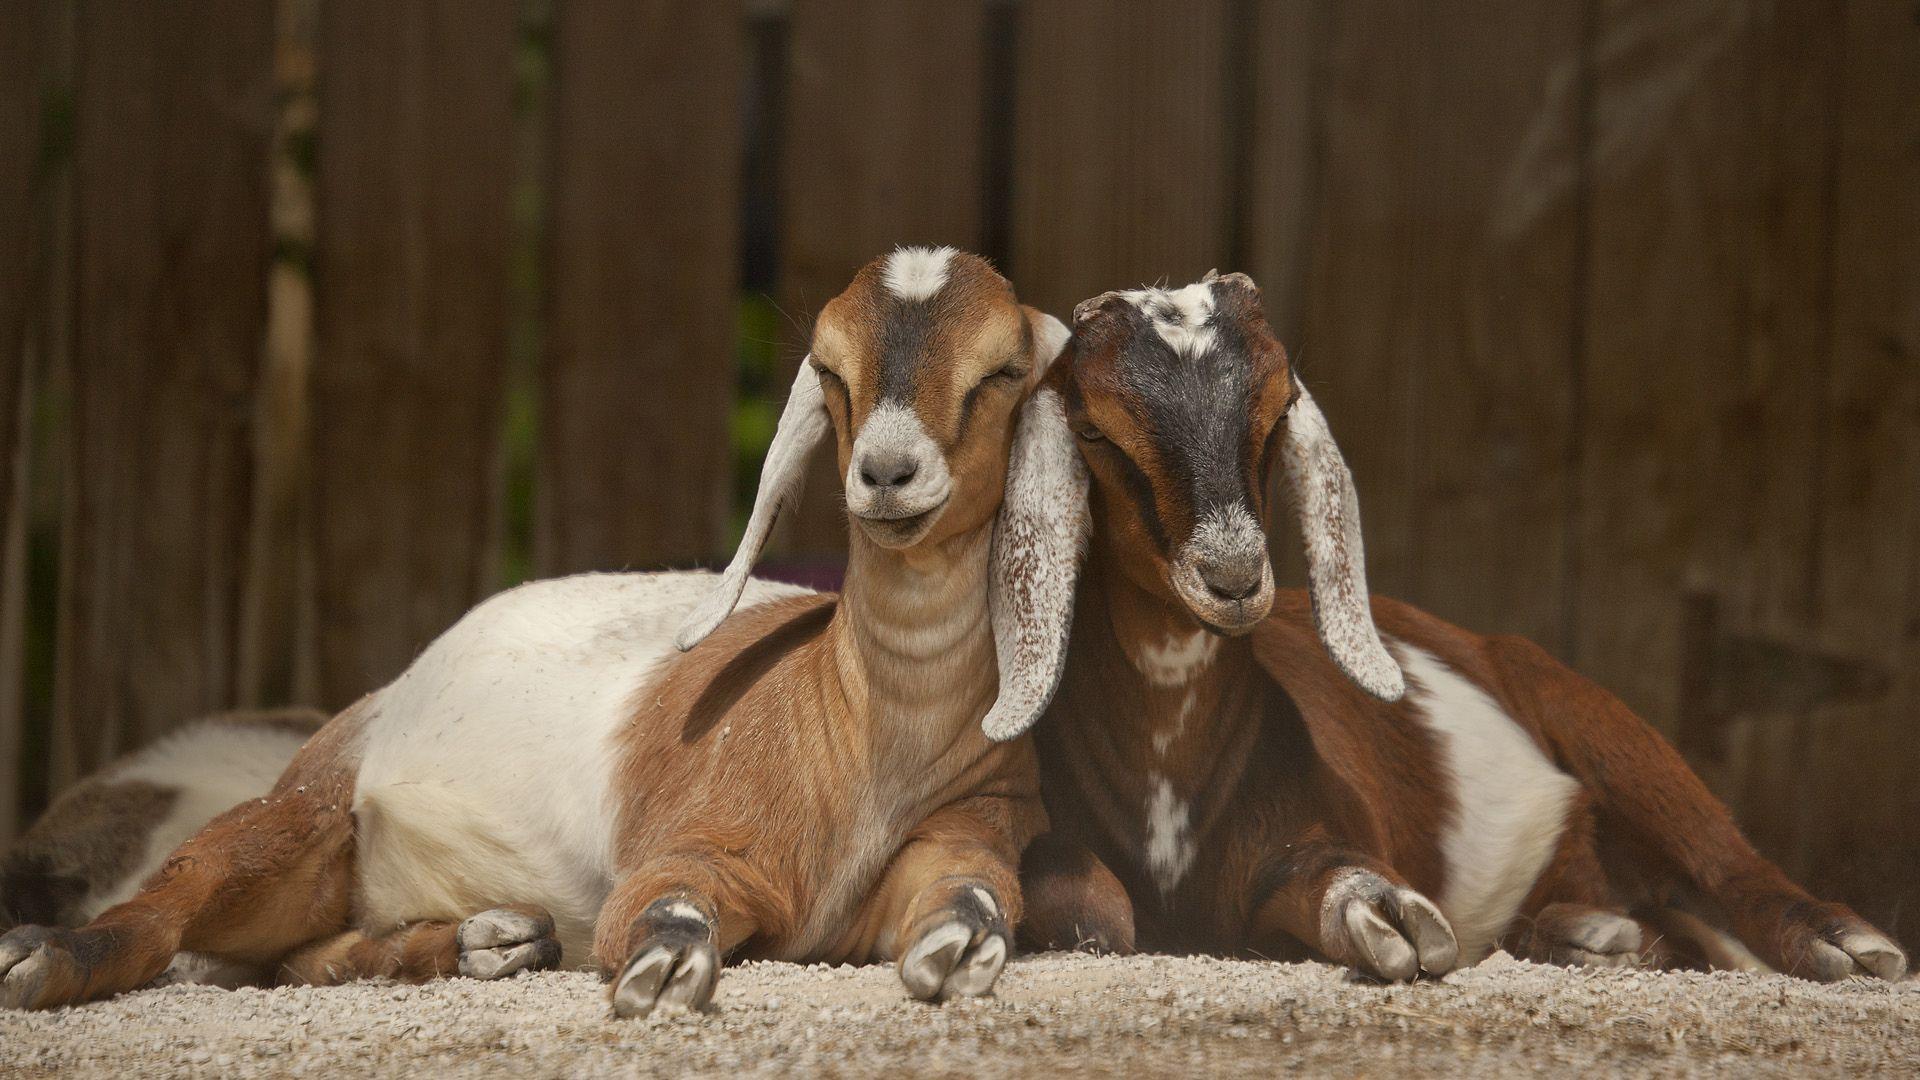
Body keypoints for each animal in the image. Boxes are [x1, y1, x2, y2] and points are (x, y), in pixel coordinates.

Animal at [0, 247, 1089, 1014]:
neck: (860, 730)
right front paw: (661, 967)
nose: (887, 473)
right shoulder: (688, 842)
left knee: (303, 957)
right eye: (830, 367)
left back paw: (489, 939)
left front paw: (961, 951)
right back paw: (40, 960)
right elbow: (665, 908)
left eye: (1001, 371)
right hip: (300, 812)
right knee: (177, 900)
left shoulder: (969, 835)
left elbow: (971, 899)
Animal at [1017, 270, 1908, 984]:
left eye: (1278, 410)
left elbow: (1328, 871)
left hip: (1601, 722)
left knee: (1718, 856)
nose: (1233, 580)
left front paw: (1381, 912)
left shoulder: (1321, 824)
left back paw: (1842, 943)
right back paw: (1594, 935)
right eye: (1093, 430)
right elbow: (1079, 898)